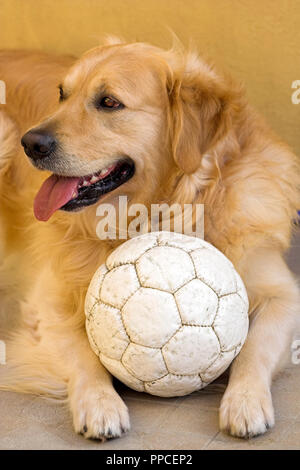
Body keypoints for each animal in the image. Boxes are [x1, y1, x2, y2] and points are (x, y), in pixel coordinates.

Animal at [0, 37, 300, 440]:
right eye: (62, 94)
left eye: (109, 102)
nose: (30, 142)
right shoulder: (48, 303)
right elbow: (82, 352)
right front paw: (100, 402)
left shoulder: (282, 293)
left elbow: (255, 346)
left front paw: (245, 400)